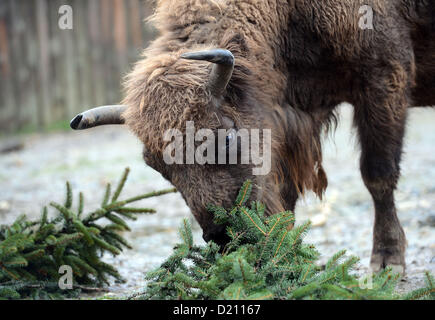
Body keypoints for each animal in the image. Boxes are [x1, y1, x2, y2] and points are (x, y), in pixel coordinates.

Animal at [70, 0, 434, 276]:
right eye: (156, 165)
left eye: (227, 139)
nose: (223, 236)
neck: (288, 16)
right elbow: (286, 192)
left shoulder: (384, 78)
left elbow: (378, 175)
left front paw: (387, 262)